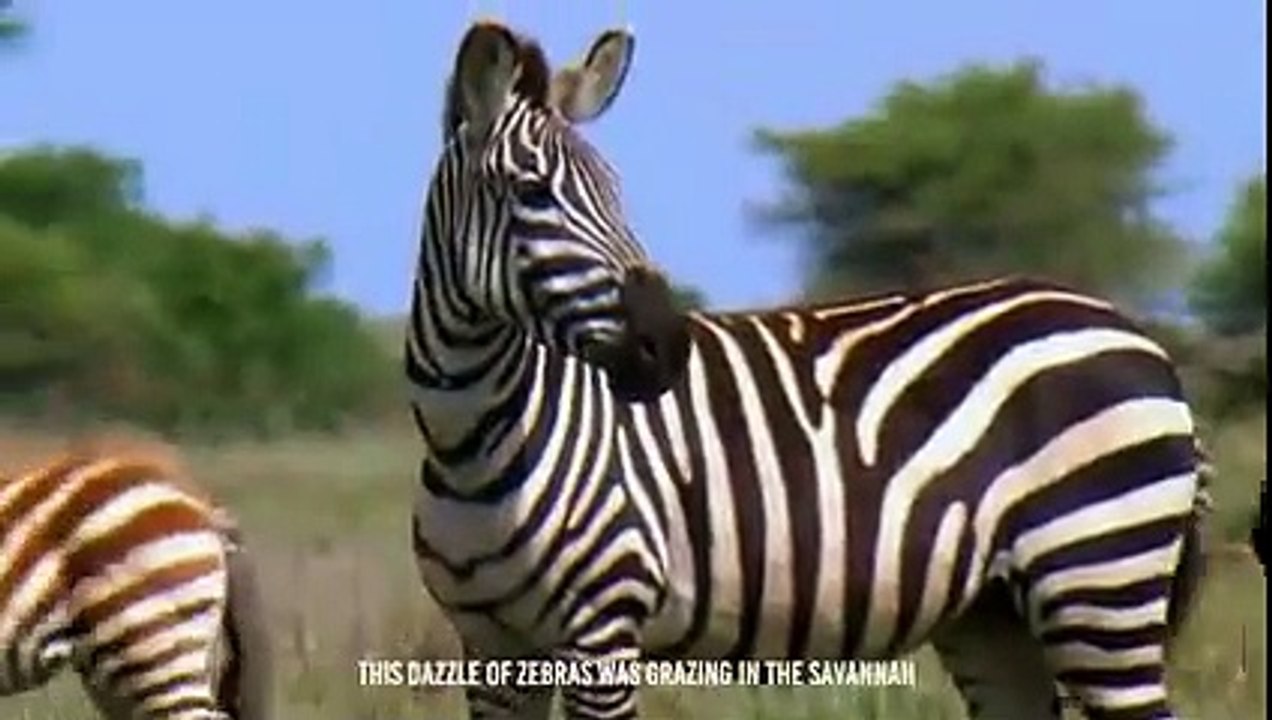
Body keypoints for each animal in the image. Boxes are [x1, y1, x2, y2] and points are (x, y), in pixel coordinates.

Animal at [407, 19, 1209, 720]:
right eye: (532, 193)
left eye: (615, 191)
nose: (666, 344)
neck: (474, 437)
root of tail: (1142, 339)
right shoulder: (492, 649)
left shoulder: (603, 623)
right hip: (995, 615)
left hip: (1098, 577)